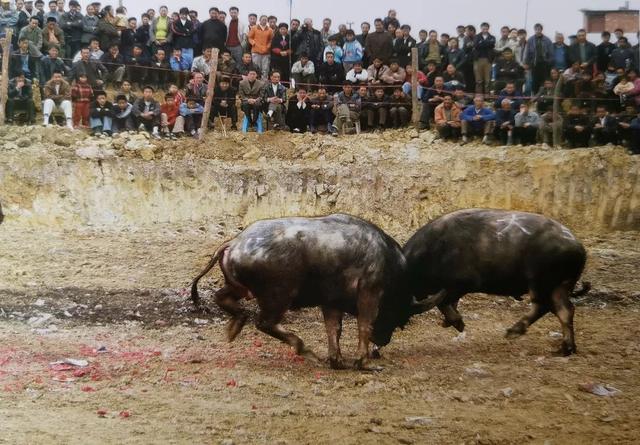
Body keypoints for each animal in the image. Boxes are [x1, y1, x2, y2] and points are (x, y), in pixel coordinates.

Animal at [190, 213, 428, 370]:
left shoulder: (331, 302)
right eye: (401, 316)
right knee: (264, 323)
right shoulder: (369, 293)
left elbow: (333, 329)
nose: (383, 341)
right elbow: (364, 325)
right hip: (279, 296)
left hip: (240, 288)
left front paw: (337, 361)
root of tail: (234, 243)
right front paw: (363, 362)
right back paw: (304, 349)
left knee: (222, 298)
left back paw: (235, 326)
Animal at [404, 207, 592, 354]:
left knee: (545, 306)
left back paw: (514, 331)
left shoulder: (461, 284)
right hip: (558, 286)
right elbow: (449, 303)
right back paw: (566, 348)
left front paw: (457, 322)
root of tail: (578, 247)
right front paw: (448, 321)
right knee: (565, 310)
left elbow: (443, 303)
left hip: (541, 283)